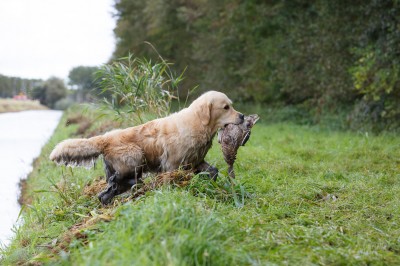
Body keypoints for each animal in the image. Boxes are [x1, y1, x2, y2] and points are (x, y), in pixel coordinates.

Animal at [50, 90, 244, 205]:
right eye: (226, 107)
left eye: (231, 105)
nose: (242, 116)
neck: (197, 123)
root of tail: (105, 138)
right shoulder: (173, 165)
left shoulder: (196, 160)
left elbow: (213, 171)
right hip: (135, 156)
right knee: (117, 180)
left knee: (106, 193)